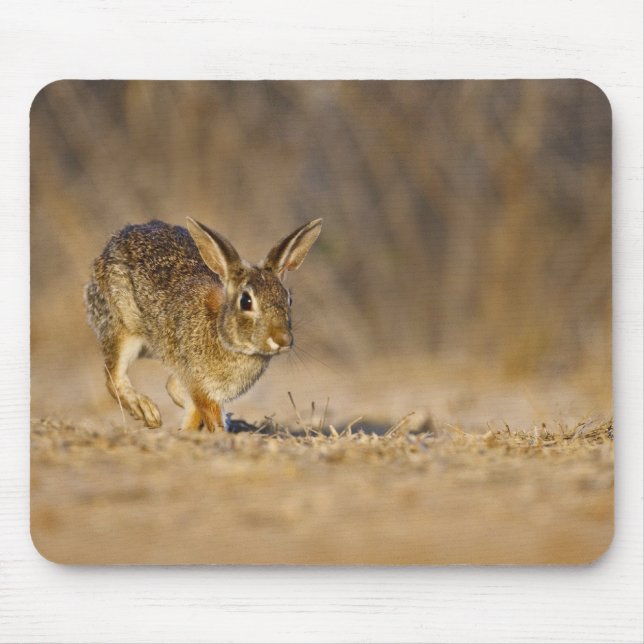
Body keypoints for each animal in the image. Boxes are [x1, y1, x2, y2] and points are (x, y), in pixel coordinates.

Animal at [84, 217, 322, 432]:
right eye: (246, 301)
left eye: (289, 300)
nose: (283, 339)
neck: (222, 333)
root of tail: (114, 242)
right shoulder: (200, 385)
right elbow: (208, 415)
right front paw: (215, 434)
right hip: (122, 328)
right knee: (114, 376)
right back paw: (146, 410)